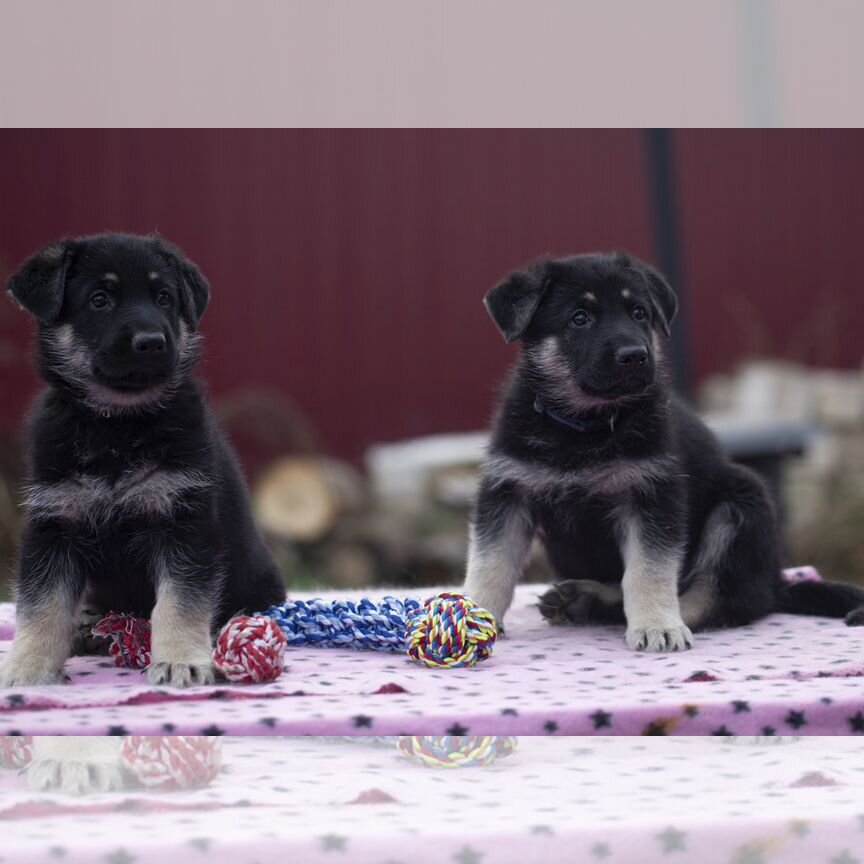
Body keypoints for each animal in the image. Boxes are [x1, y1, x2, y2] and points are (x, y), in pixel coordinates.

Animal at [0, 231, 286, 688]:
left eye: (164, 297)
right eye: (99, 299)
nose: (151, 342)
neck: (118, 424)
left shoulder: (183, 522)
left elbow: (179, 602)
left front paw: (181, 660)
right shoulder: (54, 522)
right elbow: (42, 604)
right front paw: (28, 666)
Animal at [466, 253, 864, 652]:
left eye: (639, 313)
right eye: (579, 317)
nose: (635, 356)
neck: (584, 424)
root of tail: (776, 581)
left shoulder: (652, 496)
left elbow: (648, 571)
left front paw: (657, 625)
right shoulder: (508, 492)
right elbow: (491, 562)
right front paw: (476, 612)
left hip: (740, 510)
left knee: (721, 599)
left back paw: (629, 612)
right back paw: (584, 600)